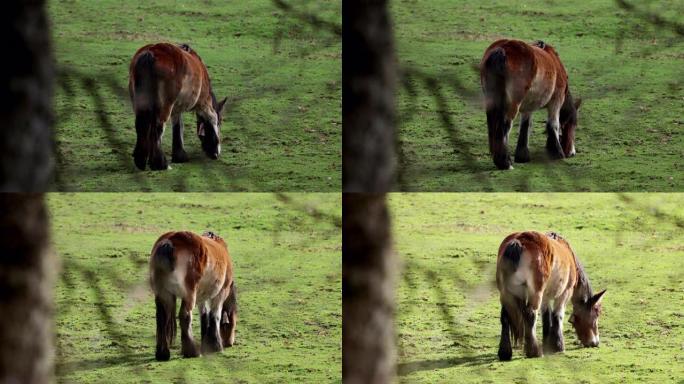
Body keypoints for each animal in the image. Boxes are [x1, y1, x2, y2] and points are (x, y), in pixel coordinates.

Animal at [130, 42, 231, 170]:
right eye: (219, 123)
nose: (215, 153)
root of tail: (150, 53)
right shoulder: (203, 104)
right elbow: (208, 118)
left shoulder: (177, 108)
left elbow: (178, 125)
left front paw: (179, 155)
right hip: (165, 107)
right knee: (158, 128)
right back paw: (160, 163)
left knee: (141, 125)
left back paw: (141, 160)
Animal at [150, 230, 238, 362]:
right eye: (231, 322)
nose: (229, 343)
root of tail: (170, 241)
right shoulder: (221, 293)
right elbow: (215, 316)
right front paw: (216, 345)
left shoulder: (202, 296)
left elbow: (205, 315)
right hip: (189, 295)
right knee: (185, 316)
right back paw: (192, 352)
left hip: (164, 295)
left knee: (162, 318)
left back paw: (163, 353)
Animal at [480, 39, 584, 170]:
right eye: (573, 125)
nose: (572, 152)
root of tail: (502, 49)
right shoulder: (556, 101)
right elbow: (553, 125)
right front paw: (558, 152)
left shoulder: (527, 108)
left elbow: (526, 126)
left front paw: (522, 155)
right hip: (512, 105)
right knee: (505, 126)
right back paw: (505, 162)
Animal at [496, 231, 604, 360]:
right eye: (596, 314)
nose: (595, 343)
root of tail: (519, 241)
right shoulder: (564, 294)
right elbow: (558, 316)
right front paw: (558, 346)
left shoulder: (546, 297)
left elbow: (547, 317)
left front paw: (548, 344)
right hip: (535, 293)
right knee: (530, 314)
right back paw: (534, 351)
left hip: (506, 293)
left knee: (505, 317)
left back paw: (505, 352)